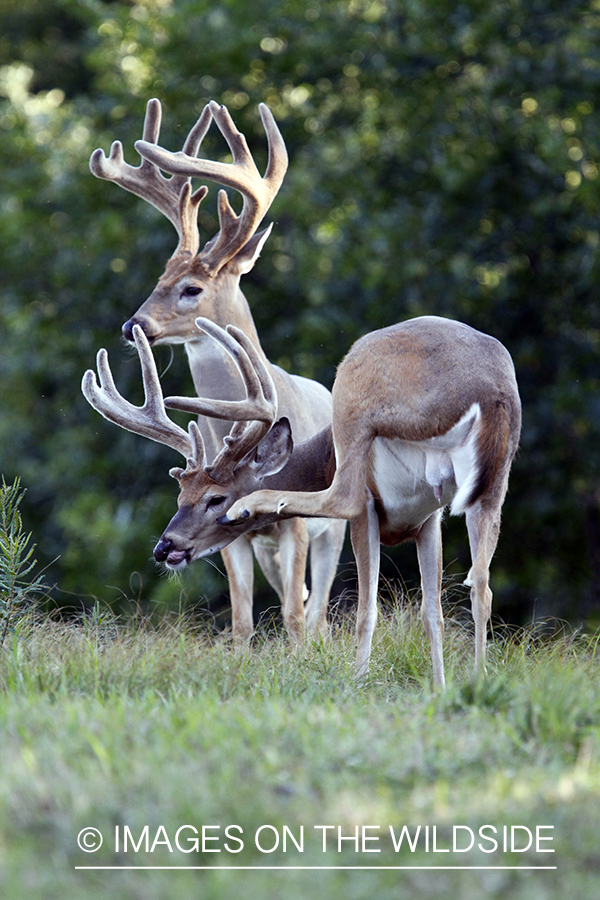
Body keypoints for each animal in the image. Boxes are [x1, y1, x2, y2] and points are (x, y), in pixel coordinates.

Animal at [82, 312, 524, 684]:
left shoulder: (371, 512)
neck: (321, 458)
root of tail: (490, 391)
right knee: (481, 582)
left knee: (343, 496)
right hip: (493, 483)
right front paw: (440, 687)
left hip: (353, 394)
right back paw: (481, 678)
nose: (165, 546)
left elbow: (367, 606)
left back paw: (258, 501)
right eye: (180, 497)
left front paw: (361, 681)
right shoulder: (429, 519)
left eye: (214, 498)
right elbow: (433, 612)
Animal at [86, 100, 344, 640]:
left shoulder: (297, 522)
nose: (133, 324)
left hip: (331, 532)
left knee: (316, 609)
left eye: (192, 289)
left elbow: (295, 616)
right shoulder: (240, 538)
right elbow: (243, 619)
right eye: (158, 278)